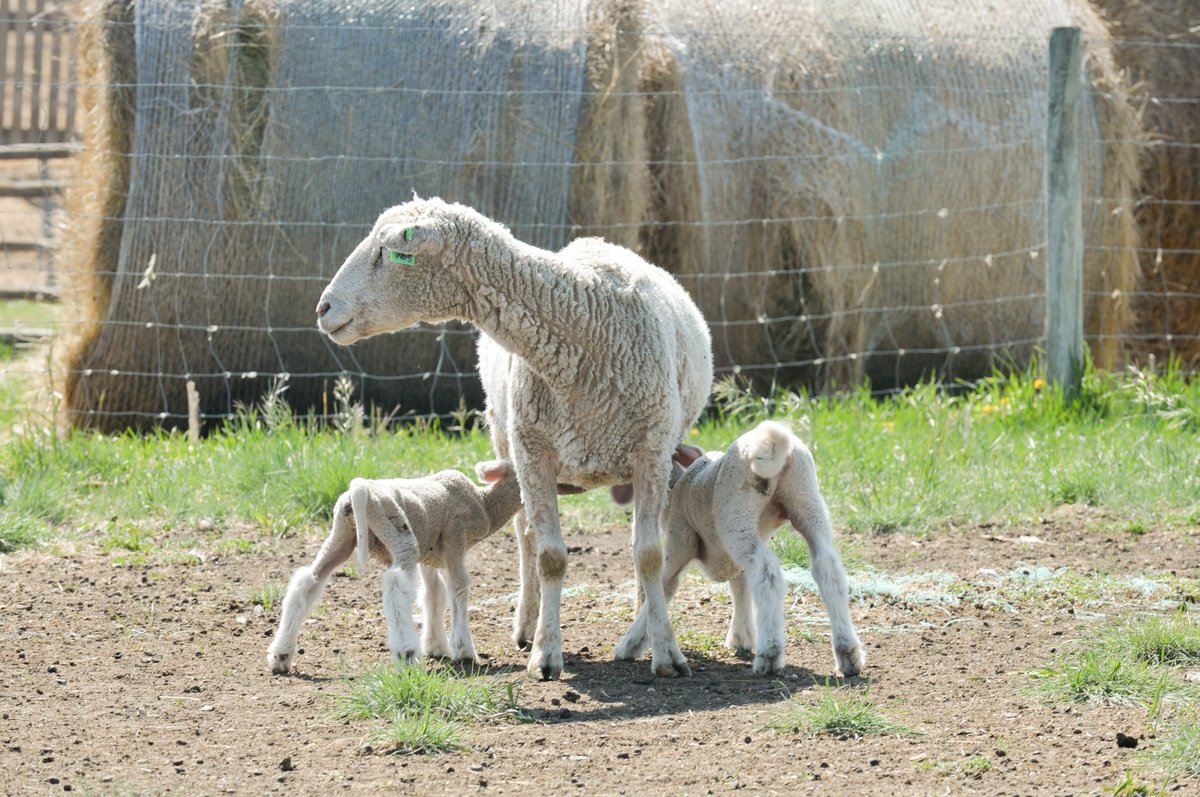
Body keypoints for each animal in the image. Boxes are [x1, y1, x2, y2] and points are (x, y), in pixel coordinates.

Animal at [267, 460, 520, 672]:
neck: (485, 504)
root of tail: (360, 490)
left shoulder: (428, 553)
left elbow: (433, 594)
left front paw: (436, 646)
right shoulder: (454, 538)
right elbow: (458, 588)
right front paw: (464, 650)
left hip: (341, 536)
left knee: (308, 581)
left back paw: (281, 654)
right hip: (398, 532)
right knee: (395, 584)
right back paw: (406, 653)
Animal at [316, 194, 710, 676]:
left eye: (389, 252)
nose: (323, 309)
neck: (583, 333)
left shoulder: (652, 449)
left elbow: (649, 554)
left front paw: (665, 648)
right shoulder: (532, 451)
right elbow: (550, 557)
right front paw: (546, 653)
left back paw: (639, 620)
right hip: (507, 440)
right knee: (526, 539)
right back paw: (529, 623)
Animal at [619, 420, 864, 676]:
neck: (681, 483)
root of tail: (773, 442)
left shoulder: (679, 542)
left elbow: (663, 587)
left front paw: (631, 644)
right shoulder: (733, 560)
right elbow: (741, 587)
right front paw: (741, 637)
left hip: (737, 516)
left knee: (767, 571)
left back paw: (770, 655)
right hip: (806, 500)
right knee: (828, 567)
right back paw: (848, 652)